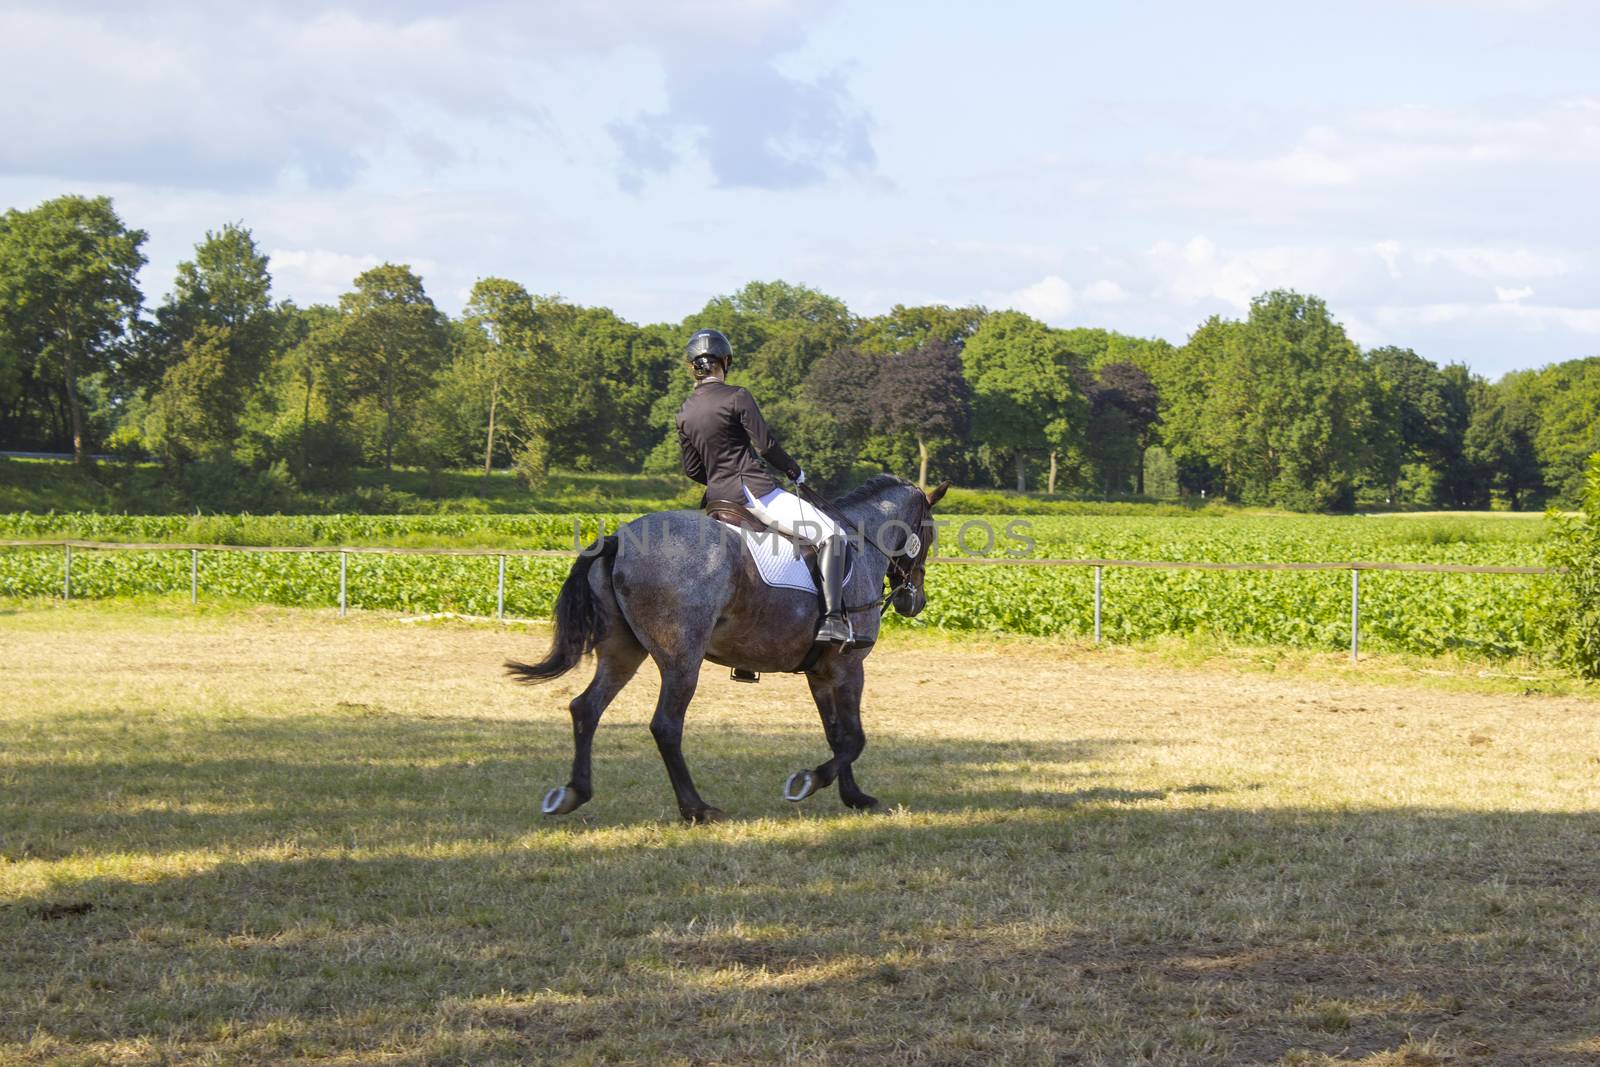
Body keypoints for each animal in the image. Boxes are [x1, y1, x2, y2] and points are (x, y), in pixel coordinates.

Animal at [505, 476, 940, 825]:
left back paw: (572, 794)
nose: (914, 602)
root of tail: (618, 539)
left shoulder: (821, 671)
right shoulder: (849, 667)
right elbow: (854, 737)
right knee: (665, 725)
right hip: (682, 660)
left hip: (622, 652)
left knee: (586, 708)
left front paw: (853, 797)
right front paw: (807, 781)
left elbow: (836, 734)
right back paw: (697, 809)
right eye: (930, 537)